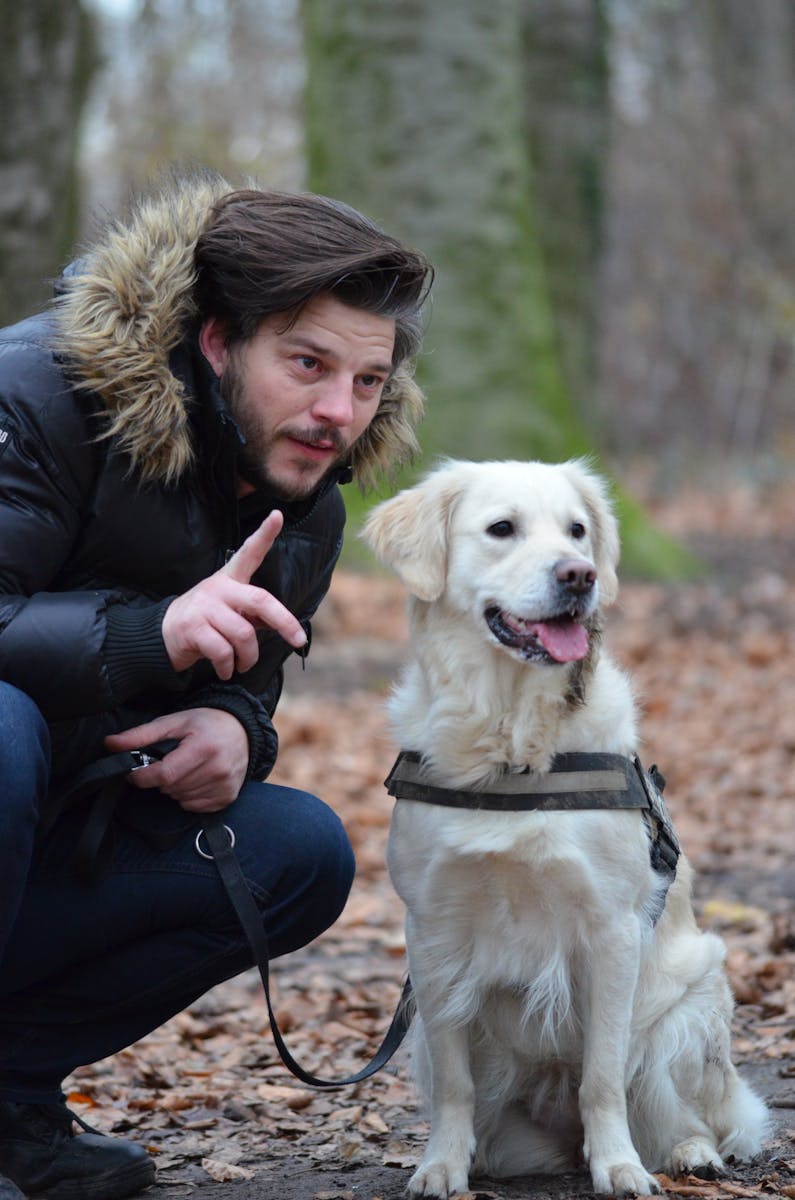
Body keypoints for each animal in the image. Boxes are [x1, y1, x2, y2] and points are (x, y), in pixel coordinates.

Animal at [365, 460, 768, 1200]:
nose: (578, 575)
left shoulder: (610, 931)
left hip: (687, 1013)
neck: (511, 747)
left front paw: (618, 1167)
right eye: (502, 528)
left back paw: (689, 1153)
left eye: (577, 531)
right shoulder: (432, 937)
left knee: (688, 1114)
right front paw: (441, 1165)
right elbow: (457, 1086)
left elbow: (602, 1077)